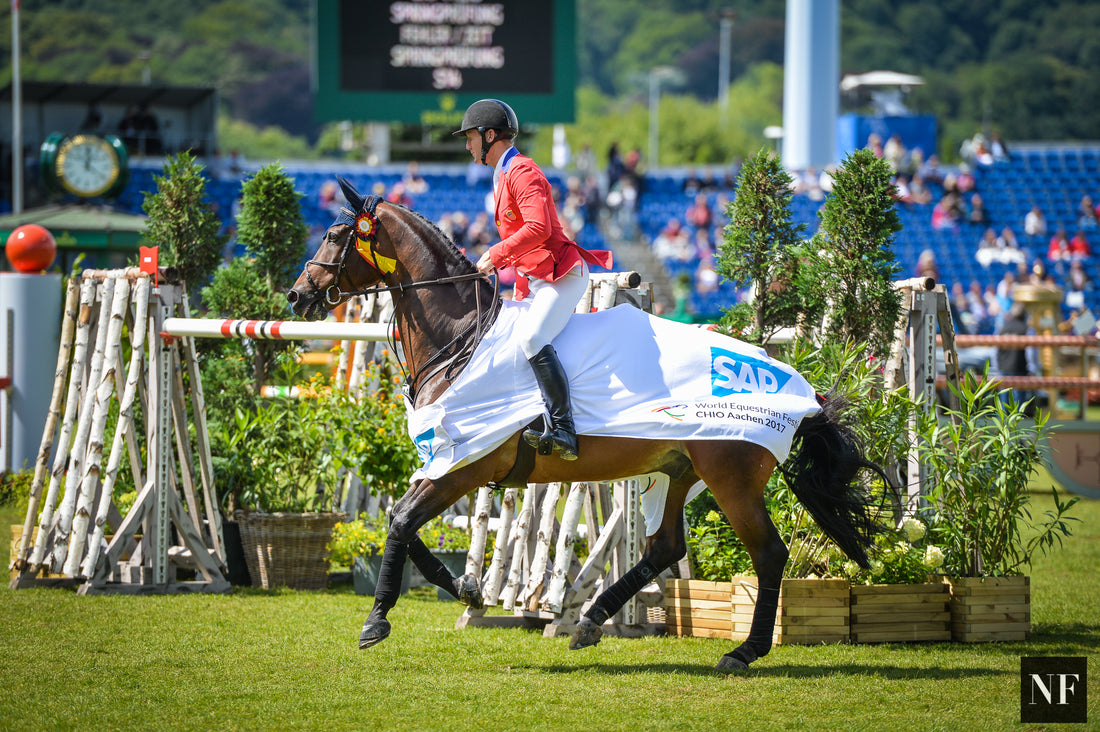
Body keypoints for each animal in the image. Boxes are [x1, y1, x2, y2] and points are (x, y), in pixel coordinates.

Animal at [288, 177, 888, 669]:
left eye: (336, 235)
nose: (298, 296)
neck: (460, 339)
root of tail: (803, 392)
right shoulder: (448, 463)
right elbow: (402, 523)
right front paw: (465, 589)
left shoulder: (463, 466)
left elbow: (400, 521)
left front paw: (376, 621)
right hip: (679, 470)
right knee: (664, 547)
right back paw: (593, 621)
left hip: (731, 480)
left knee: (768, 554)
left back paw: (743, 652)